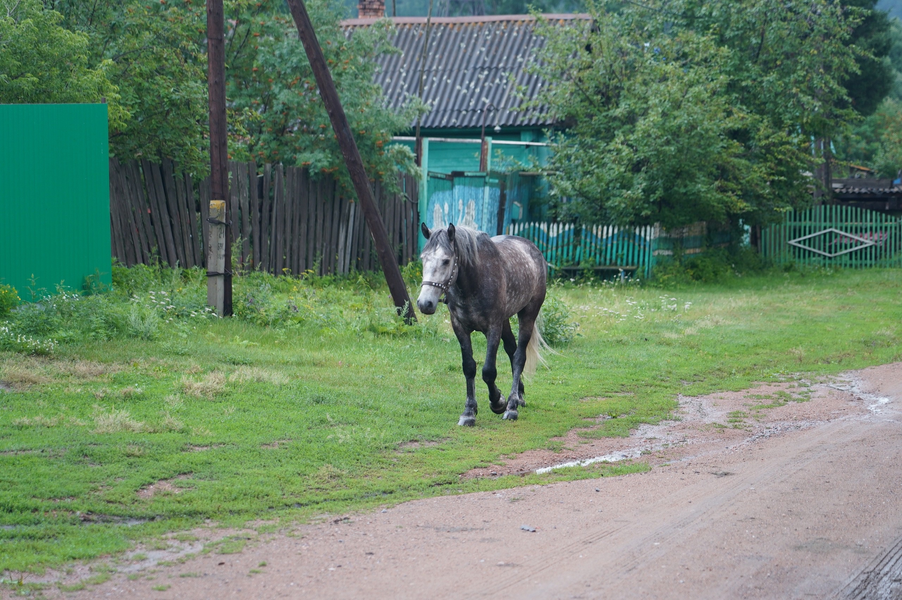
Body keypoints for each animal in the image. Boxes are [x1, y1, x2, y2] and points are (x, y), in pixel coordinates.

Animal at [416, 224, 552, 426]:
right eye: (423, 259)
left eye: (446, 261)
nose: (425, 303)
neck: (474, 281)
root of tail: (533, 249)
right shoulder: (460, 328)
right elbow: (469, 367)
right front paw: (469, 411)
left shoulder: (493, 328)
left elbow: (488, 371)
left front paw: (498, 401)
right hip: (505, 321)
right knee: (511, 350)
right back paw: (518, 396)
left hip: (528, 315)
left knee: (519, 356)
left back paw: (512, 406)